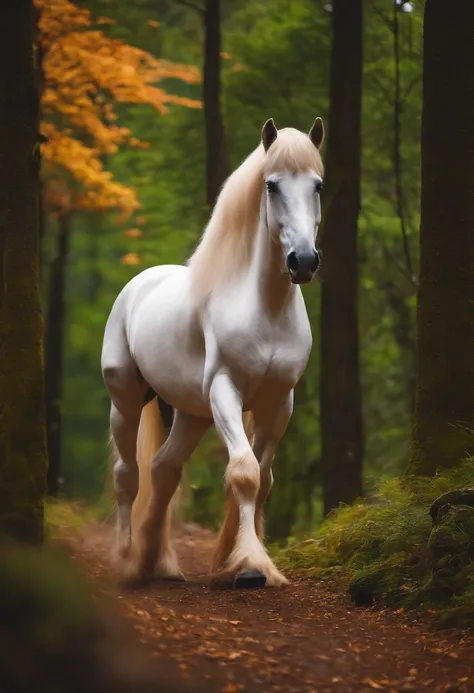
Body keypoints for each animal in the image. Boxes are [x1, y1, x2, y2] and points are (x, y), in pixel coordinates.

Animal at [101, 116, 324, 588]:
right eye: (271, 185)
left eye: (318, 185)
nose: (303, 261)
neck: (264, 308)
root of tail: (139, 283)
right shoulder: (226, 391)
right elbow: (244, 472)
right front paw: (251, 566)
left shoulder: (279, 403)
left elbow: (264, 478)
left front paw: (235, 561)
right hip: (126, 400)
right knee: (128, 475)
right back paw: (129, 561)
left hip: (191, 414)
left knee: (163, 469)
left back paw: (158, 562)